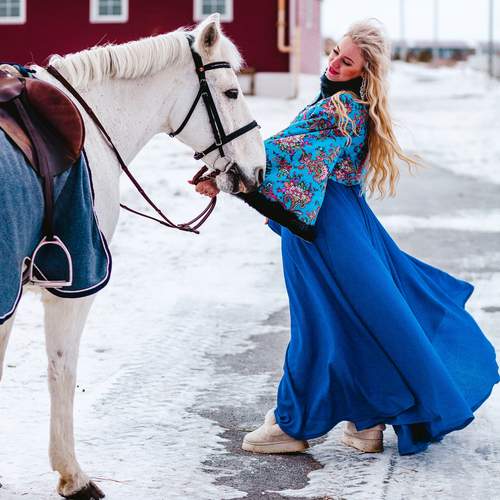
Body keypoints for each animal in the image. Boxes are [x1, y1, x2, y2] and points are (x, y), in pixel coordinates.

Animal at [0, 14, 265, 499]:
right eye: (233, 93)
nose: (259, 168)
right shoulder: (70, 283)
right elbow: (62, 371)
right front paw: (74, 476)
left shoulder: (10, 291)